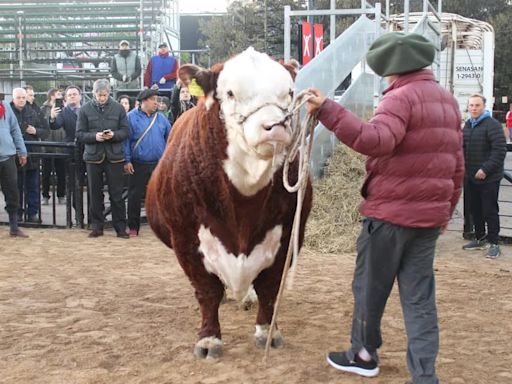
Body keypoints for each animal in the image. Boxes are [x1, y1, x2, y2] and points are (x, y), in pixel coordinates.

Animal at [144, 48, 312, 360]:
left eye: (290, 92)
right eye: (231, 93)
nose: (275, 126)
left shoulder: (286, 235)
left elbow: (270, 288)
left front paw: (267, 333)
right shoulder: (185, 238)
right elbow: (207, 291)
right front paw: (208, 340)